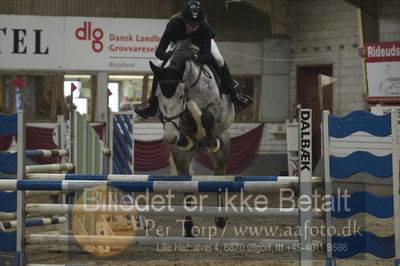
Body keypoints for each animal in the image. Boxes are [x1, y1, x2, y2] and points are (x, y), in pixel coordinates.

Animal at [149, 39, 234, 235]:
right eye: (158, 97)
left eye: (181, 96)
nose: (171, 137)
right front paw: (184, 135)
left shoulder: (215, 108)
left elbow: (206, 117)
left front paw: (205, 132)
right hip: (180, 158)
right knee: (186, 182)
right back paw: (188, 227)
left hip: (222, 151)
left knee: (219, 176)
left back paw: (220, 219)